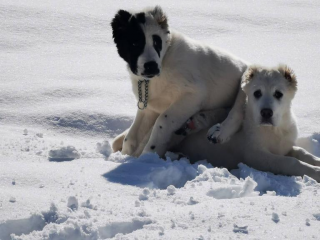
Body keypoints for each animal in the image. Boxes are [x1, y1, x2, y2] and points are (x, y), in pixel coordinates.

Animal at [111, 5, 249, 158]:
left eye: (156, 42)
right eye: (134, 43)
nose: (151, 66)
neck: (164, 61)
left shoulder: (193, 95)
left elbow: (162, 121)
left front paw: (149, 154)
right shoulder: (150, 108)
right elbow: (131, 135)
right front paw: (126, 155)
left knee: (235, 112)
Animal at [174, 65, 320, 182]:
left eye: (278, 94)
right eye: (257, 93)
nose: (266, 113)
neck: (273, 130)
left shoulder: (285, 147)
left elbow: (302, 152)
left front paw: (316, 162)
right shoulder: (255, 155)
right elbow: (289, 162)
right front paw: (315, 172)